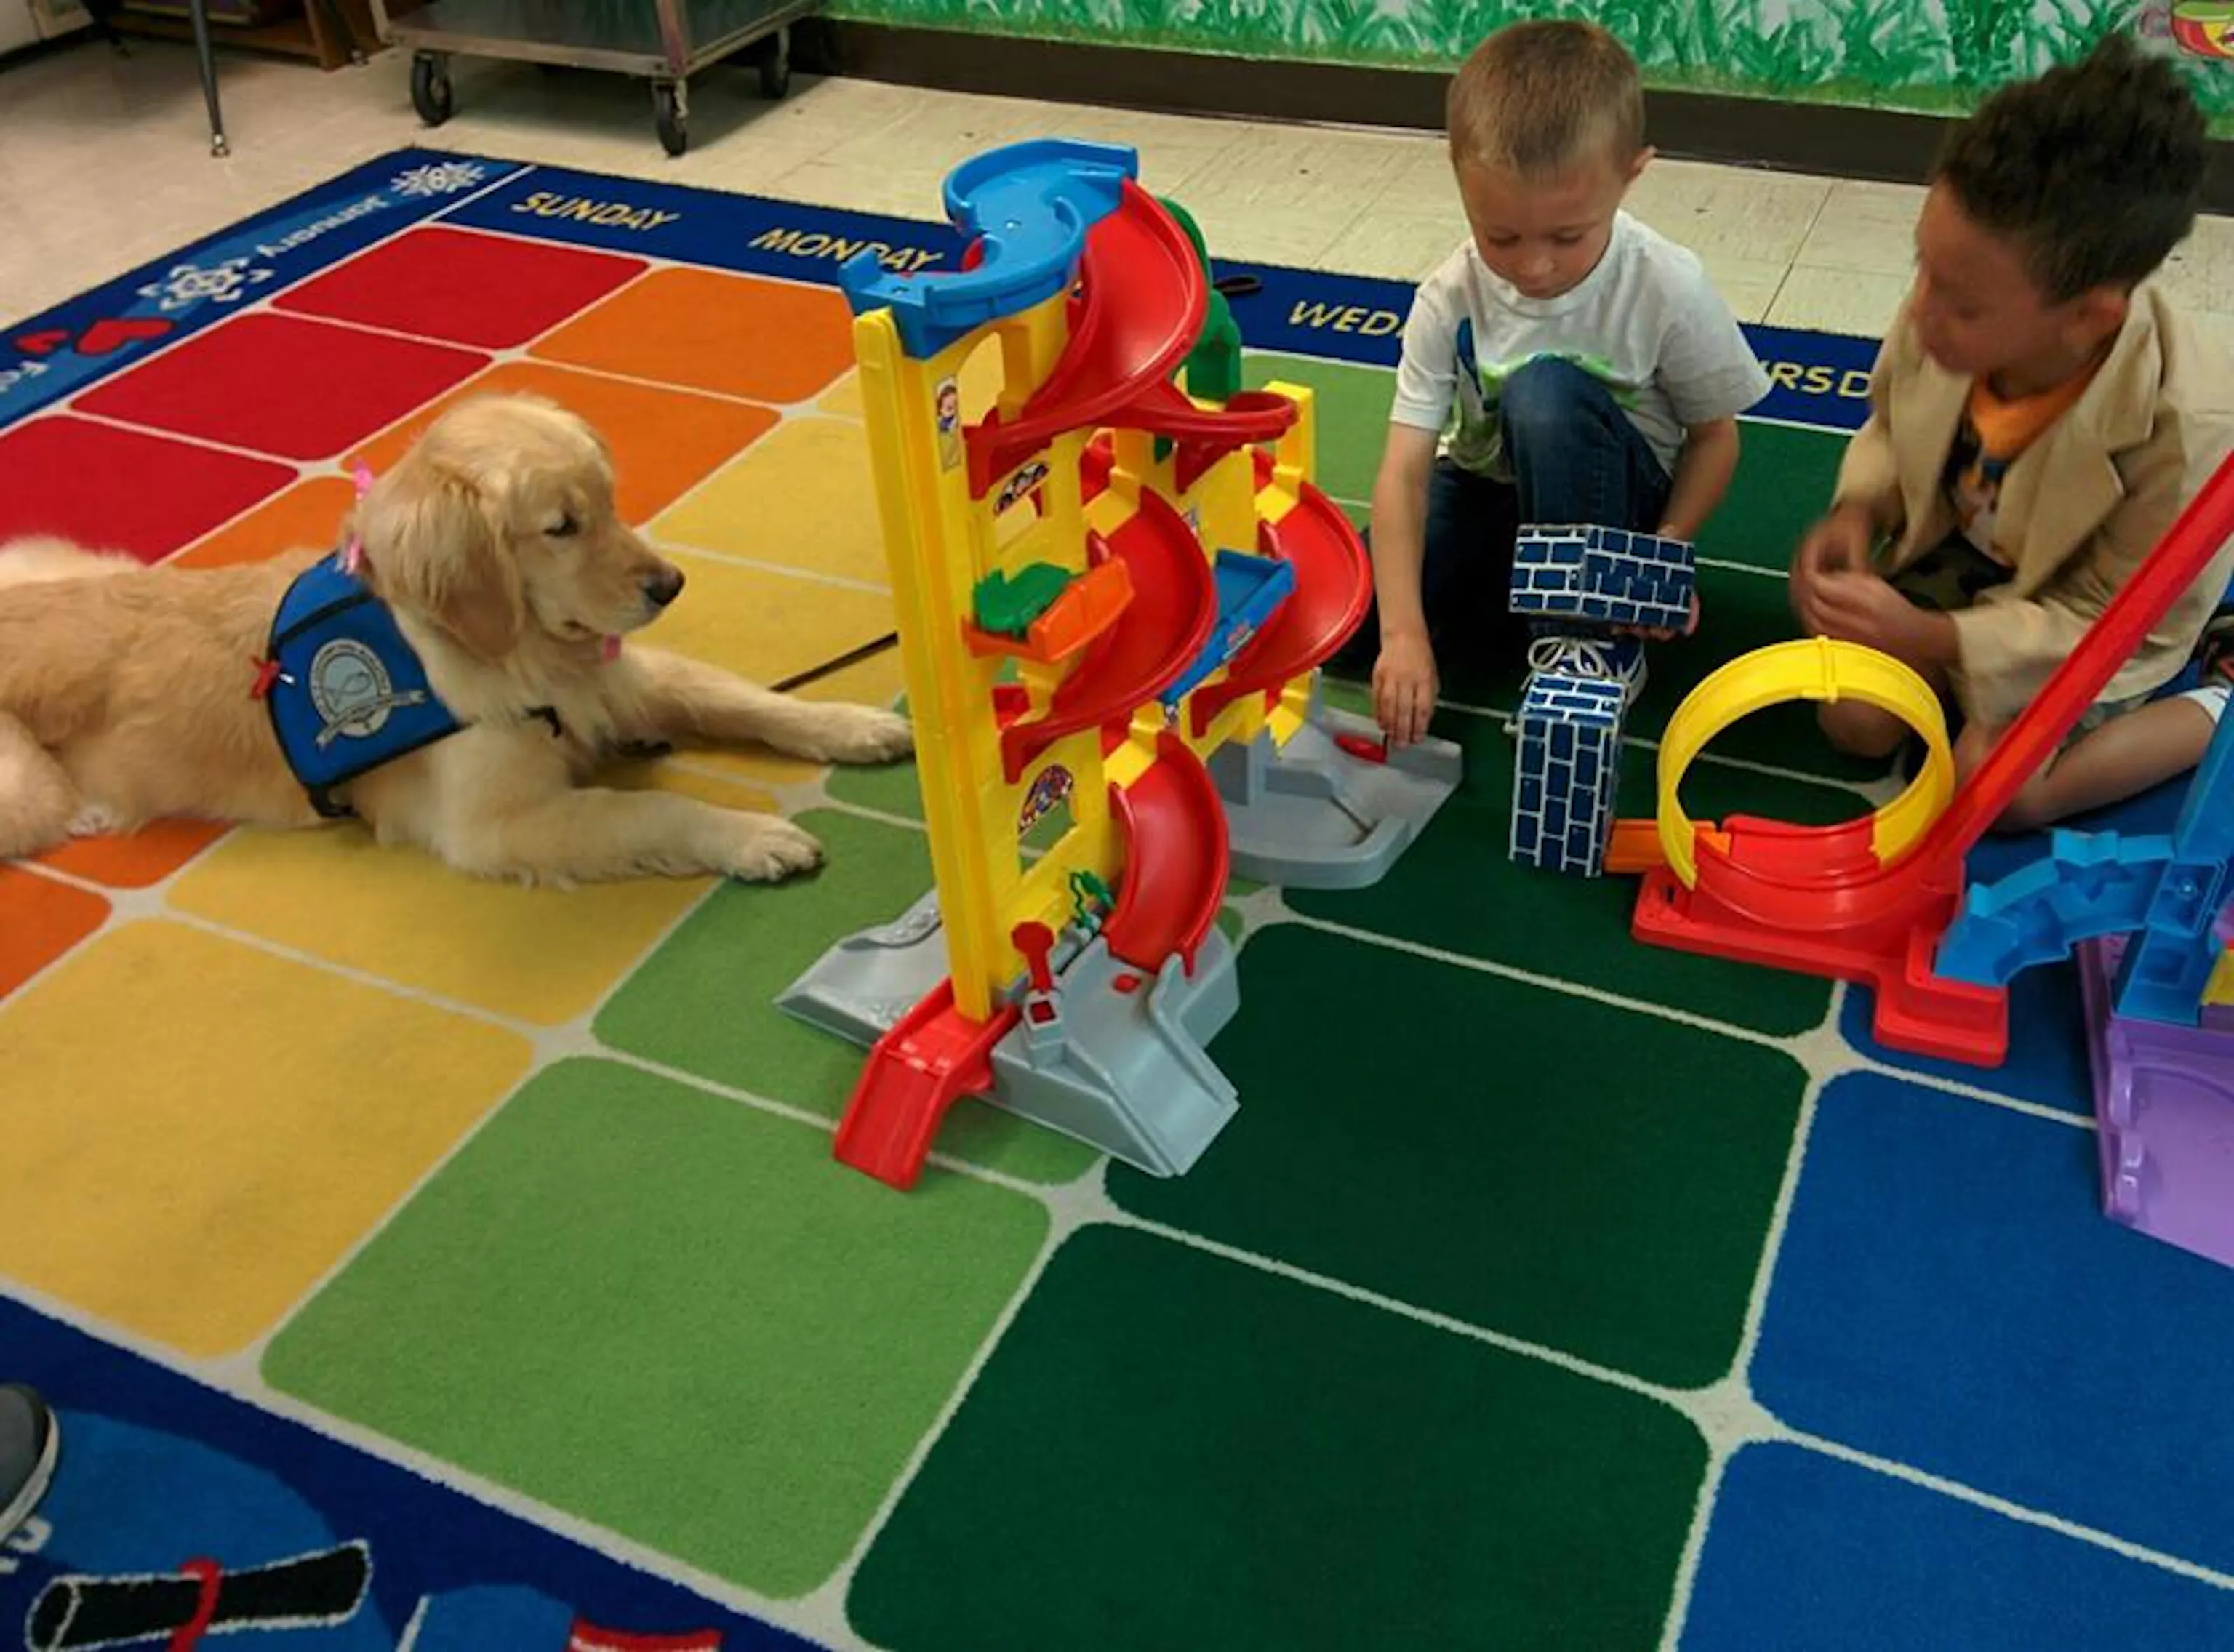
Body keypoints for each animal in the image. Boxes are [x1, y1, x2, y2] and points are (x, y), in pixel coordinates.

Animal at [0, 394, 911, 885]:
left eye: (609, 500)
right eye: (560, 527)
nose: (670, 584)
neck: (515, 651)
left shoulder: (623, 677)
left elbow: (746, 700)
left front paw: (851, 724)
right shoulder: (494, 821)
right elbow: (649, 805)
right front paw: (751, 836)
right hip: (24, 790)